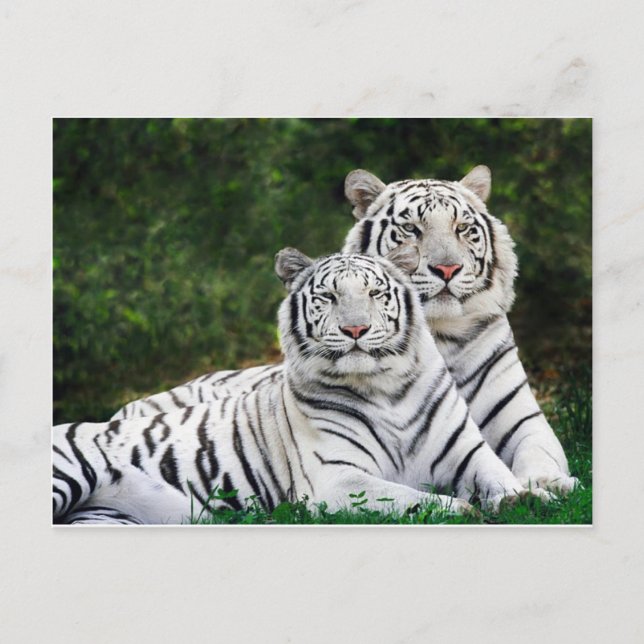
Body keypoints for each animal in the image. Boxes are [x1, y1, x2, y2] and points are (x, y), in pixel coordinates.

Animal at [53, 247, 538, 525]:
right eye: (328, 297)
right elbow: (409, 497)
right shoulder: (336, 478)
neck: (387, 389)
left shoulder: (467, 452)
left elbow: (499, 475)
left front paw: (524, 498)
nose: (356, 330)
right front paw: (463, 509)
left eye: (375, 294)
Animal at [114, 167, 578, 495]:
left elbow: (540, 453)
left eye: (463, 228)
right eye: (411, 229)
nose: (447, 269)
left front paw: (551, 484)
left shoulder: (522, 420)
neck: (440, 335)